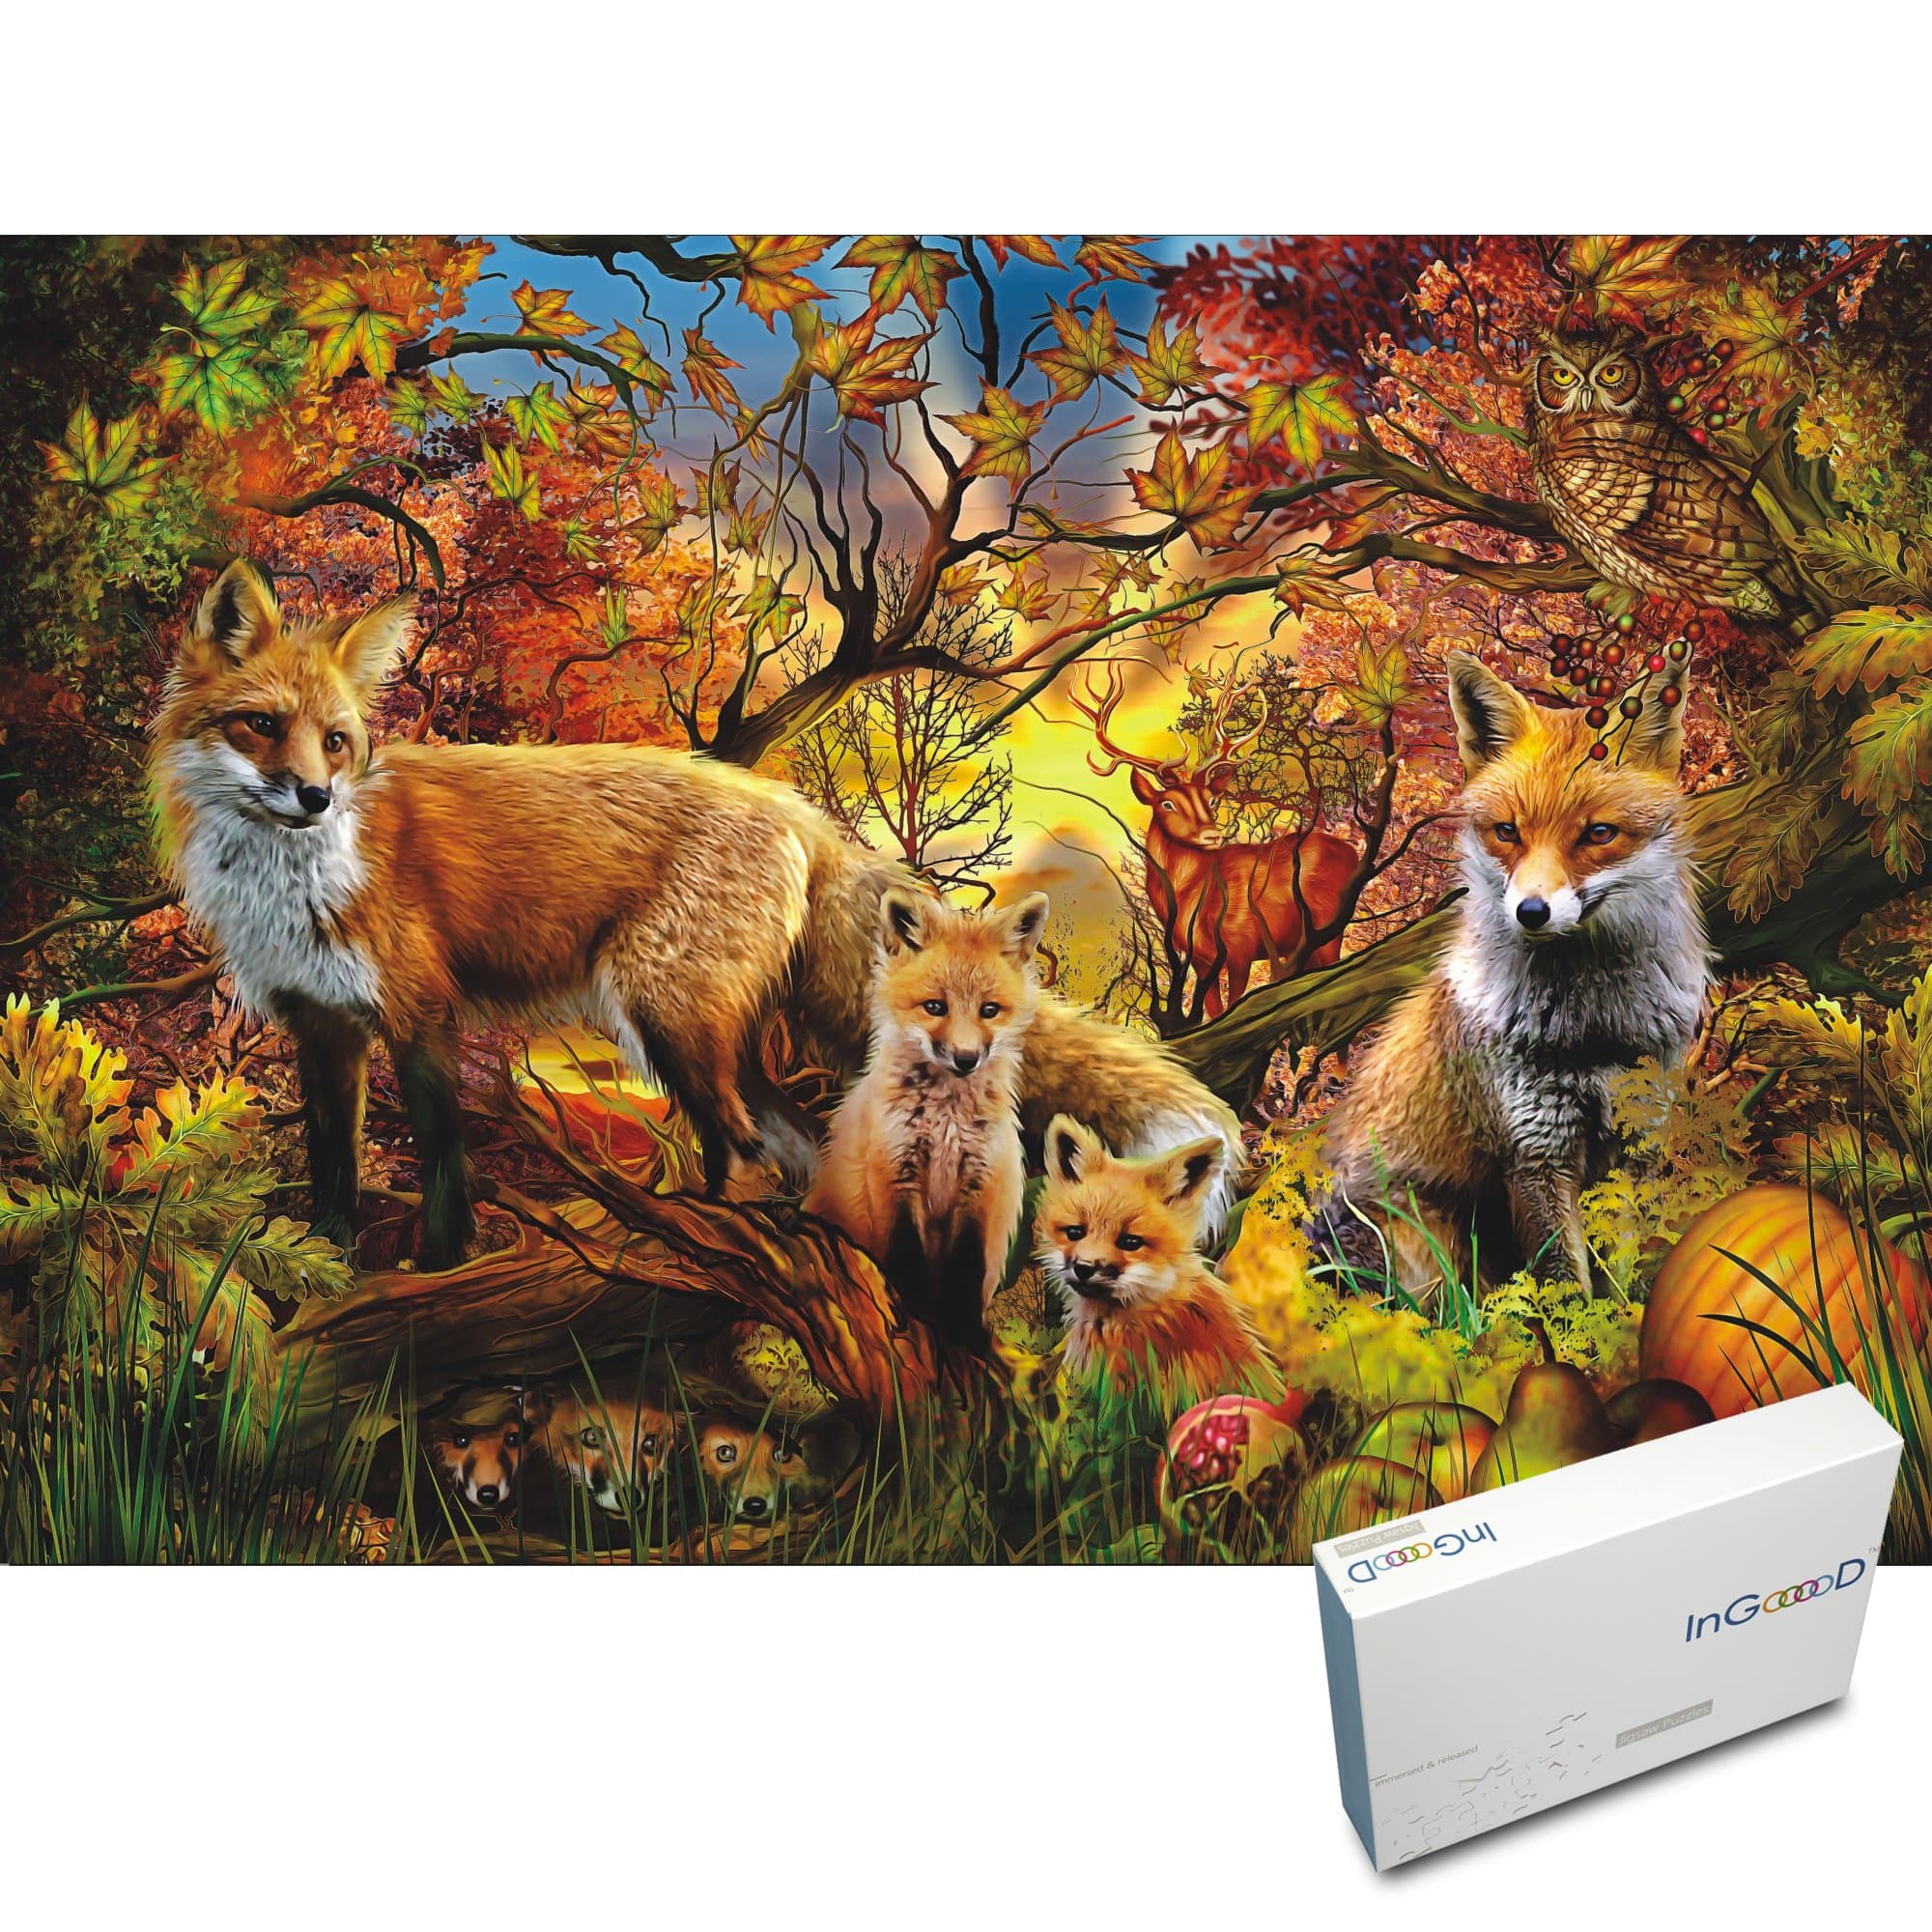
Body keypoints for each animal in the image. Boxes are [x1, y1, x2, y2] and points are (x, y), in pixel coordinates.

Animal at [148, 559, 1244, 1269]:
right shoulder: (321, 1026)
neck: (295, 885)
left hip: (665, 1015)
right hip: (694, 1034)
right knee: (786, 1146)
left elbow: (442, 1163)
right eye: (261, 726)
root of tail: (796, 809)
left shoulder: (420, 1013)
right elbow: (331, 1165)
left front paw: (437, 1271)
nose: (313, 796)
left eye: (336, 740)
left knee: (749, 1154)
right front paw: (324, 1260)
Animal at [804, 890, 1047, 1348]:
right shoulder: (895, 1175)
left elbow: (967, 1272)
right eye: (935, 1007)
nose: (966, 1059)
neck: (945, 1121)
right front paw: (916, 1313)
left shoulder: (979, 1188)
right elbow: (905, 1258)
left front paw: (966, 1332)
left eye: (990, 1010)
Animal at [1318, 651, 1711, 1295]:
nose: (1531, 911)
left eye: (1598, 834)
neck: (1593, 1030)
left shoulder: (1636, 1138)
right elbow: (1568, 1290)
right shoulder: (1535, 1153)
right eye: (1507, 832)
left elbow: (1618, 1282)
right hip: (1423, 1242)